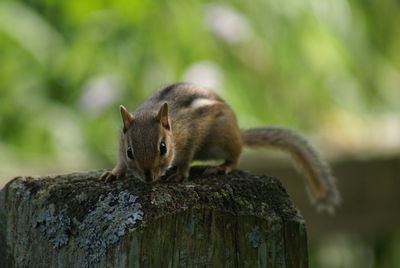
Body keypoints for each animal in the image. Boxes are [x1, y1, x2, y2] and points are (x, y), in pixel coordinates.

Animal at [101, 82, 340, 213]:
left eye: (163, 147)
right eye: (130, 152)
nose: (149, 177)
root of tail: (240, 134)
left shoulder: (191, 138)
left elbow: (187, 158)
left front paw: (180, 174)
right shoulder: (120, 144)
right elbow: (119, 162)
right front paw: (113, 173)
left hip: (224, 139)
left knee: (236, 156)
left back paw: (221, 167)